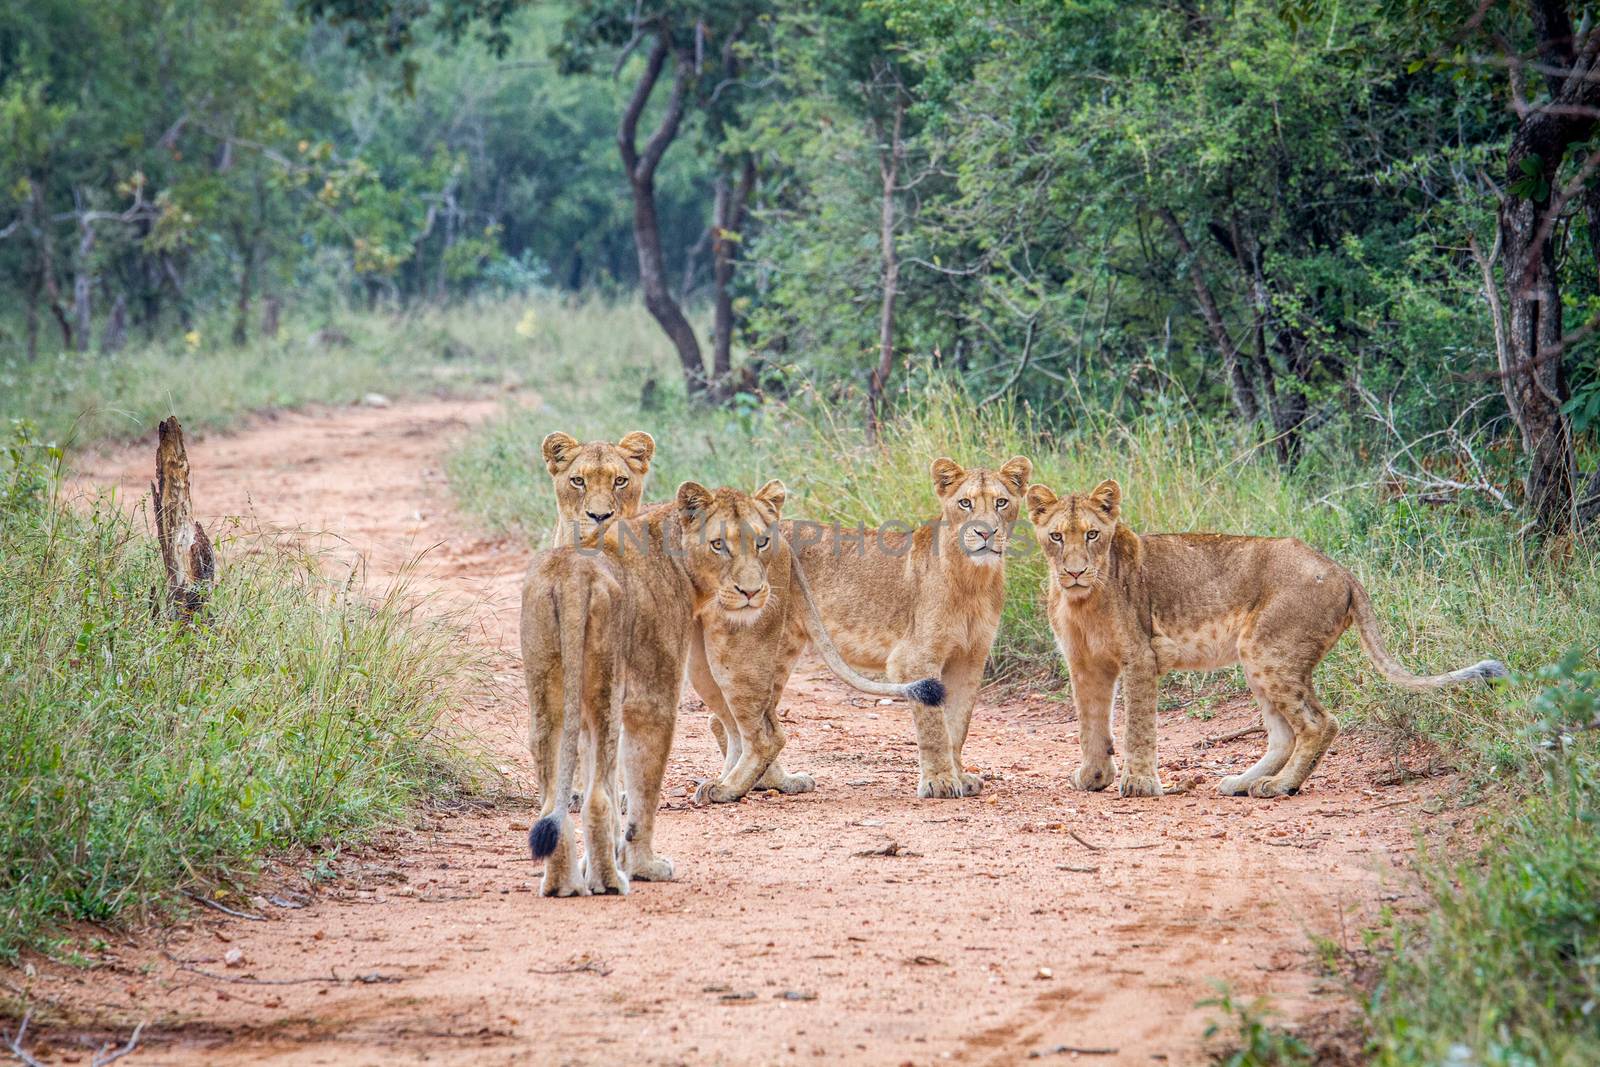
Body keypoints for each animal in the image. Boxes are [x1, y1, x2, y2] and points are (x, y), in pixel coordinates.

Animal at [1030, 479, 1504, 796]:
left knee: (1319, 723)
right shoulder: (1083, 663)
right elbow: (1090, 721)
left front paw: (1140, 784)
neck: (1081, 601)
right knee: (1284, 735)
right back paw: (1243, 782)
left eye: (1093, 534)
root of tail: (1340, 569)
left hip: (1268, 650)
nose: (1074, 571)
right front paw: (1094, 777)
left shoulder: (1141, 657)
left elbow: (1138, 726)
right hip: (1259, 657)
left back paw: (1280, 787)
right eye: (1056, 536)